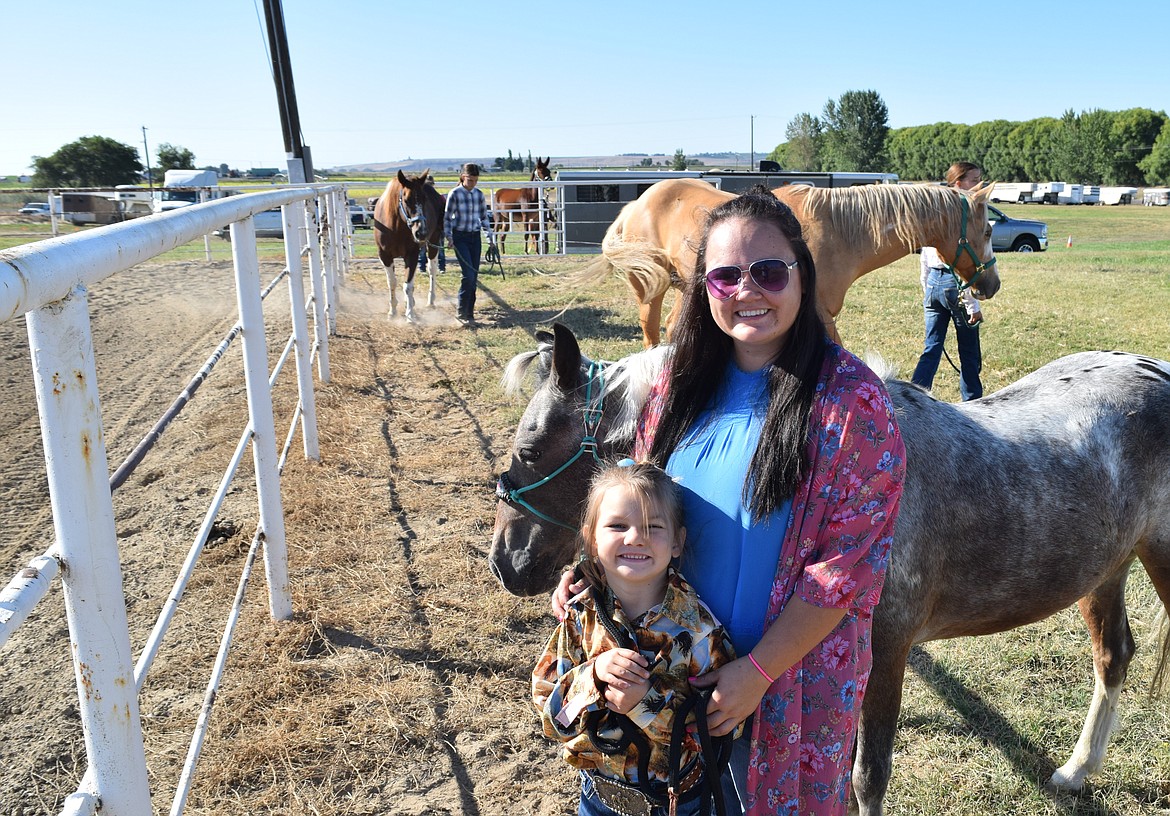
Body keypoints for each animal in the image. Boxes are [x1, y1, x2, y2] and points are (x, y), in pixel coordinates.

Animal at [374, 169, 442, 320]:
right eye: (406, 200)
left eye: (424, 199)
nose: (421, 232)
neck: (395, 227)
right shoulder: (385, 256)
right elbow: (392, 282)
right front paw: (392, 310)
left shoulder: (412, 254)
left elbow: (408, 285)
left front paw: (410, 314)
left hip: (434, 243)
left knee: (431, 270)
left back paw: (430, 301)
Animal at [489, 325, 1170, 814]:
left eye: (530, 450)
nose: (506, 563)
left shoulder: (887, 651)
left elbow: (866, 777)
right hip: (1104, 573)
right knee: (1114, 656)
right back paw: (1075, 773)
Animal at [580, 180, 1001, 344]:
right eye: (987, 231)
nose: (992, 284)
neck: (838, 230)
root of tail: (637, 203)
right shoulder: (821, 315)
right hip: (650, 288)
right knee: (650, 329)